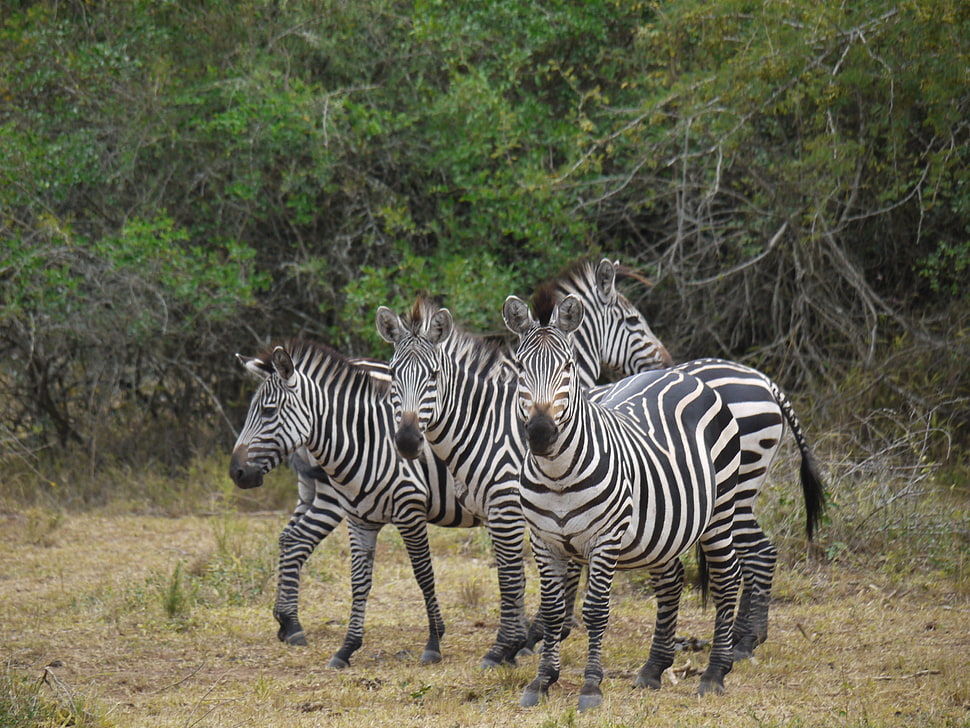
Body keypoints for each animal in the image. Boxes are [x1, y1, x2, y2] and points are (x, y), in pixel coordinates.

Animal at [229, 340, 488, 669]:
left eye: (268, 411)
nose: (236, 472)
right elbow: (367, 579)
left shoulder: (409, 507)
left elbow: (423, 575)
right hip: (323, 493)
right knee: (294, 538)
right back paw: (290, 623)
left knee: (291, 537)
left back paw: (288, 622)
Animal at [503, 291, 744, 710]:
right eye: (520, 368)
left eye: (568, 367)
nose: (541, 433)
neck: (557, 474)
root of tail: (679, 373)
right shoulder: (544, 541)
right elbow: (552, 612)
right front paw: (541, 681)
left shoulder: (605, 539)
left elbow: (596, 611)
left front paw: (590, 686)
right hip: (664, 530)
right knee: (671, 582)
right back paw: (653, 668)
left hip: (721, 511)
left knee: (728, 578)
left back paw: (715, 673)